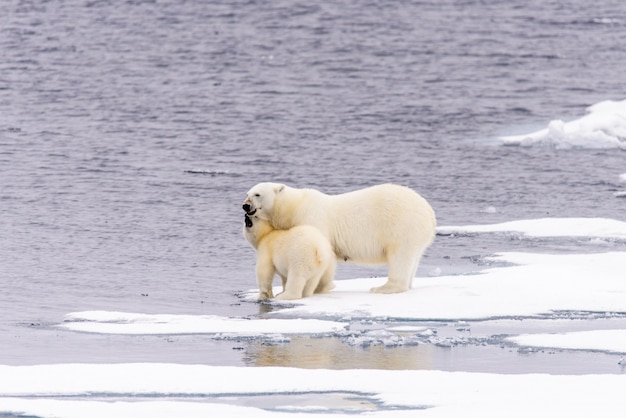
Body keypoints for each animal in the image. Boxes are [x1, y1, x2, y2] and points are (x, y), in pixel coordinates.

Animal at [241, 183, 436, 294]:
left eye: (257, 194)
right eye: (247, 193)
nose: (245, 205)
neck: (293, 206)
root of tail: (429, 213)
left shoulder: (312, 218)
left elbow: (325, 253)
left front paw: (321, 288)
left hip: (401, 226)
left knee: (399, 257)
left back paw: (384, 288)